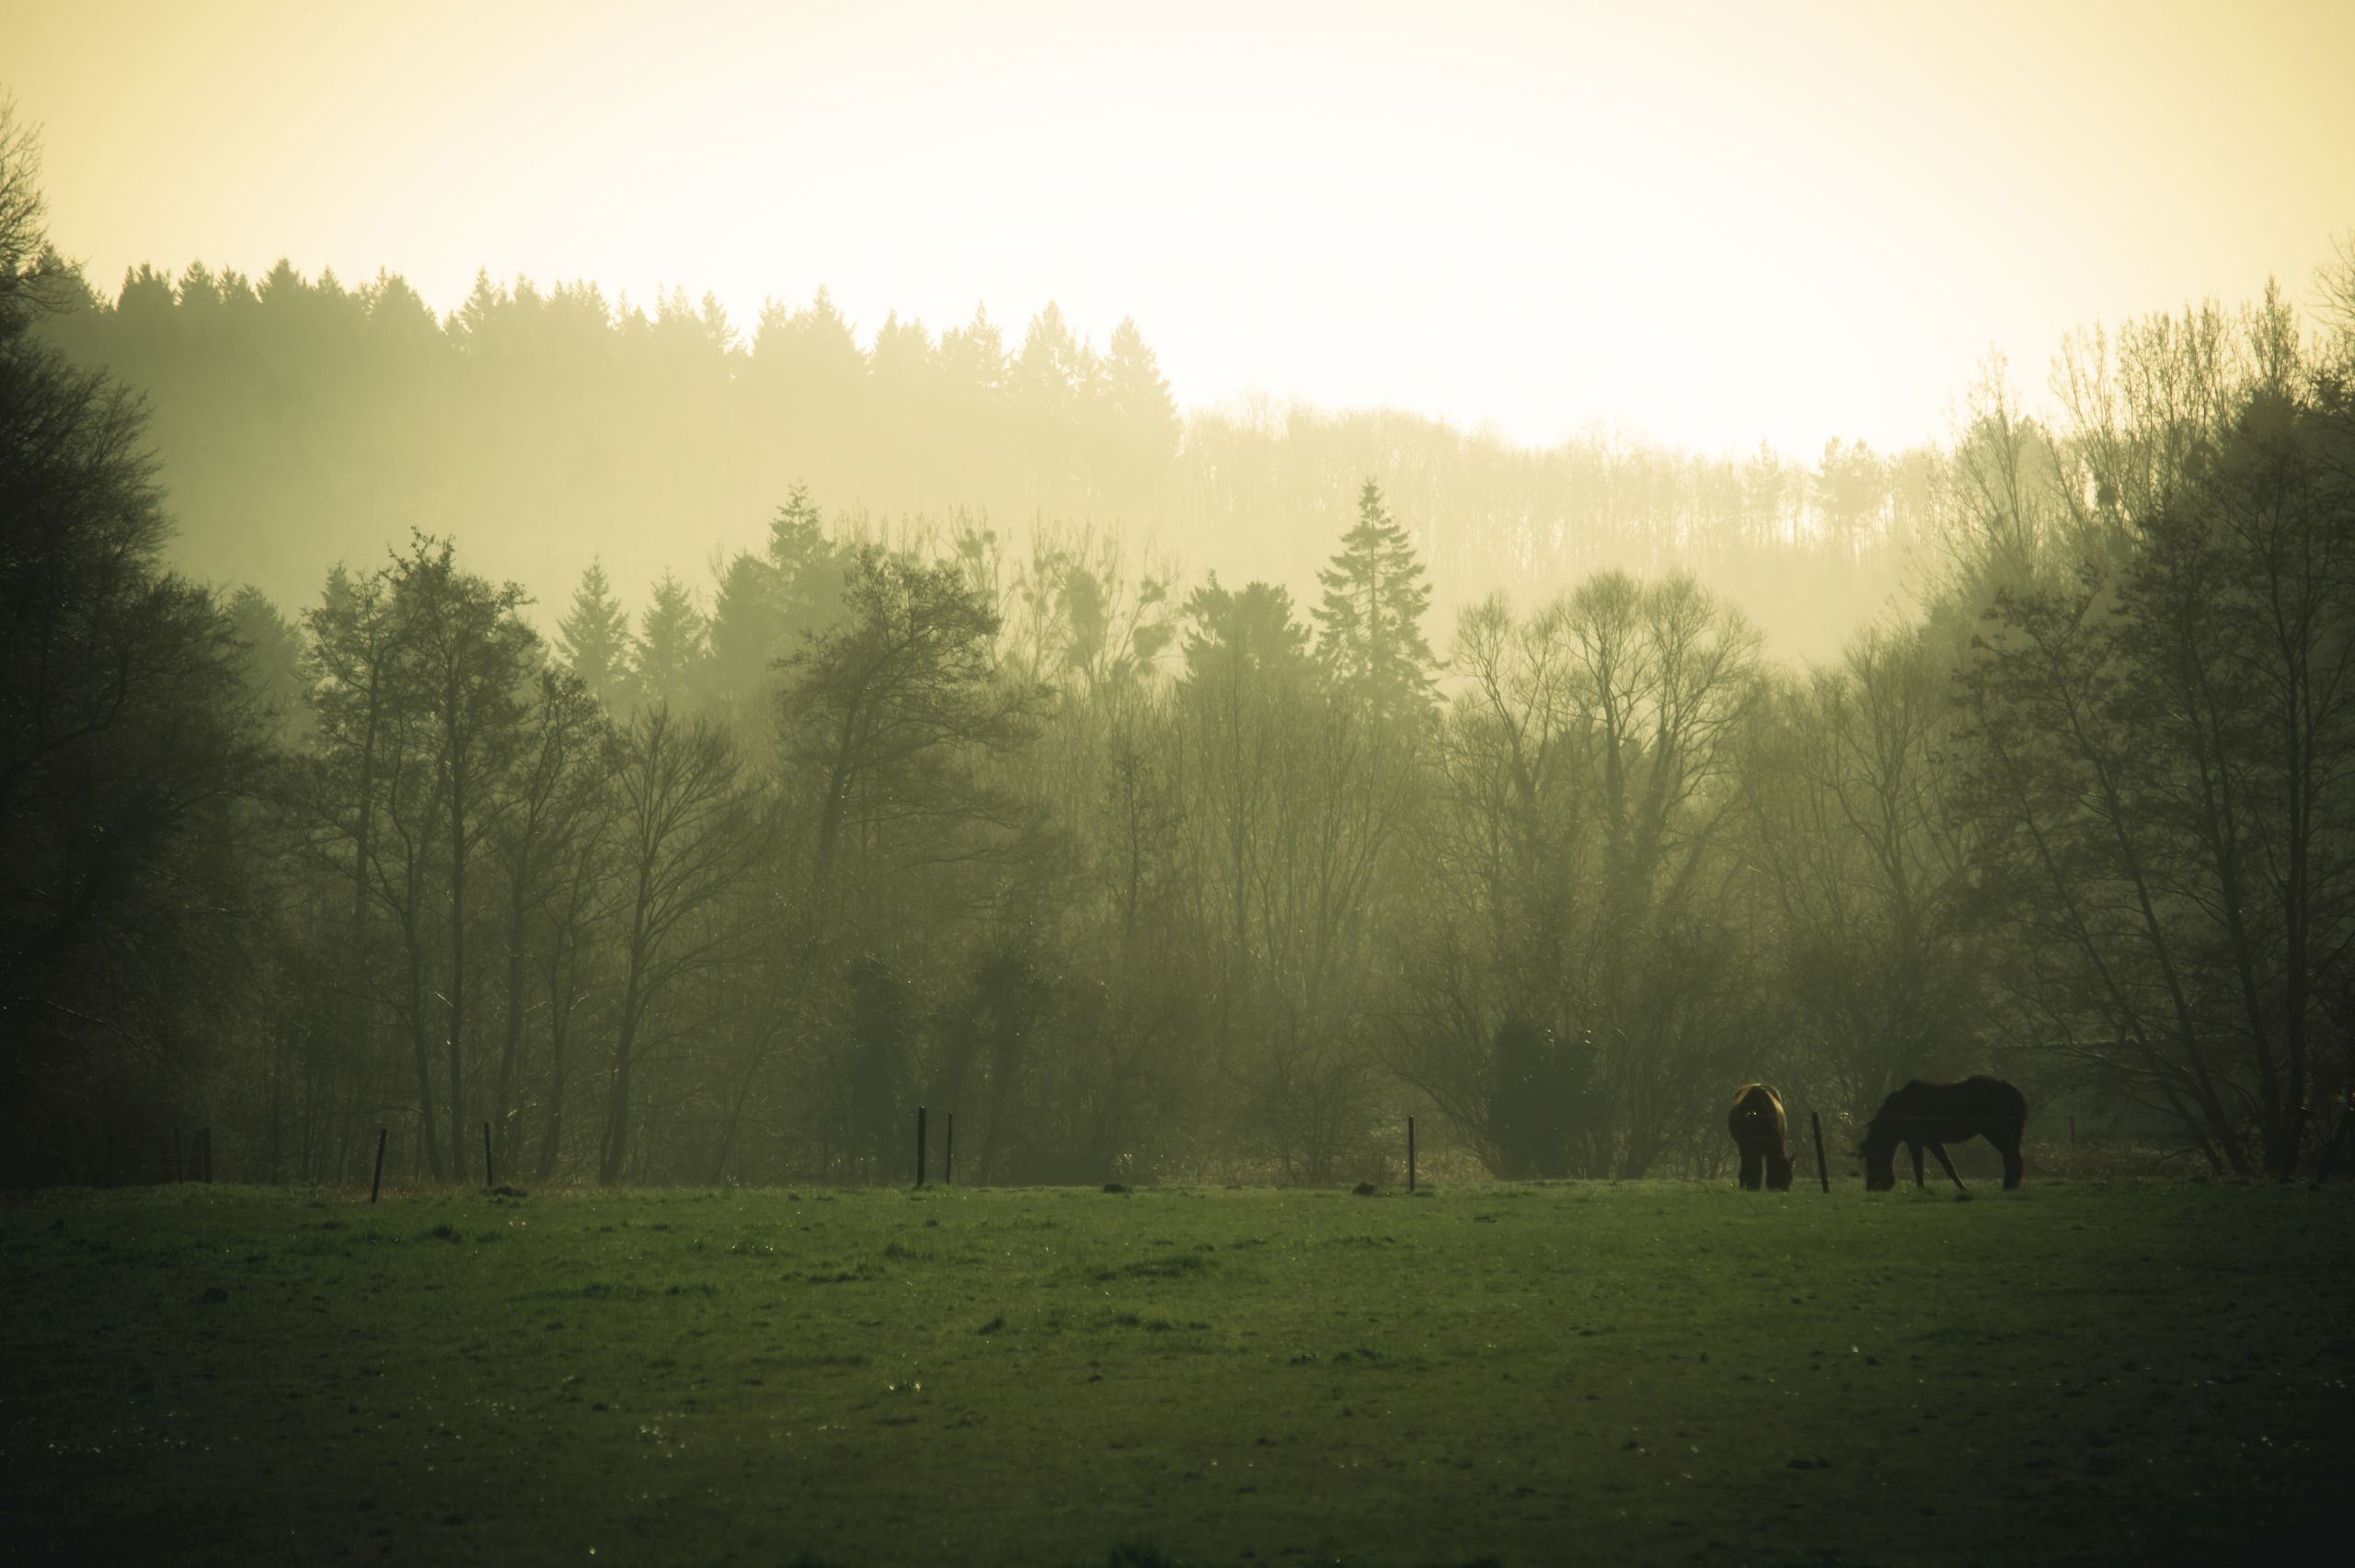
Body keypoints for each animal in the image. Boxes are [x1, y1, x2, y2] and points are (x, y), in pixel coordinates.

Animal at [1855, 1073, 2025, 1186]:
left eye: (1872, 1157)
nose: (1872, 1187)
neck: (1899, 1112)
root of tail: (2014, 1092)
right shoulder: (1927, 1142)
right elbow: (1942, 1167)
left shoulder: (1921, 1141)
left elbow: (1926, 1167)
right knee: (2013, 1156)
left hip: (1994, 1132)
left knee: (2011, 1156)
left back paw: (2008, 1187)